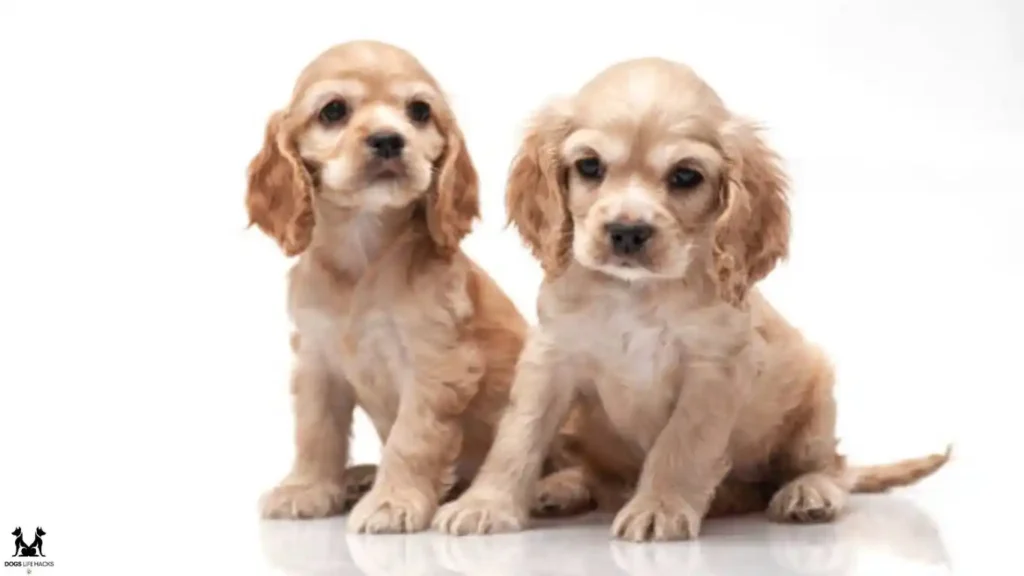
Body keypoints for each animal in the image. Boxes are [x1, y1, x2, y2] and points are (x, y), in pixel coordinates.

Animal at [434, 57, 950, 537]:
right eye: (589, 166)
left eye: (685, 176)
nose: (627, 232)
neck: (636, 294)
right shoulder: (551, 356)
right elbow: (518, 435)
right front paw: (485, 504)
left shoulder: (714, 369)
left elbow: (681, 443)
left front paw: (657, 508)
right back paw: (562, 488)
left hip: (815, 396)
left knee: (831, 467)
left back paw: (806, 492)